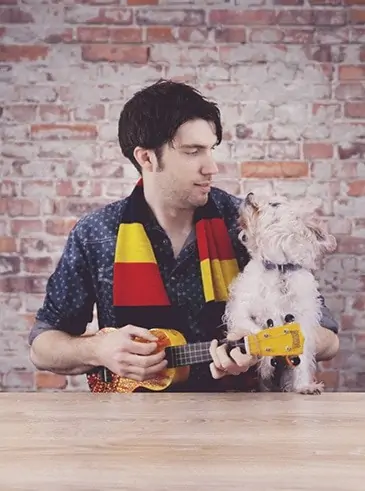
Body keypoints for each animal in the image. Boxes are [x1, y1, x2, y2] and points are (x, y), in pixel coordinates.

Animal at [223, 190, 336, 394]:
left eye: (275, 204)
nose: (250, 193)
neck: (278, 268)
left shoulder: (302, 320)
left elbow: (301, 358)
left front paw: (304, 386)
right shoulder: (240, 310)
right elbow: (255, 330)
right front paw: (267, 359)